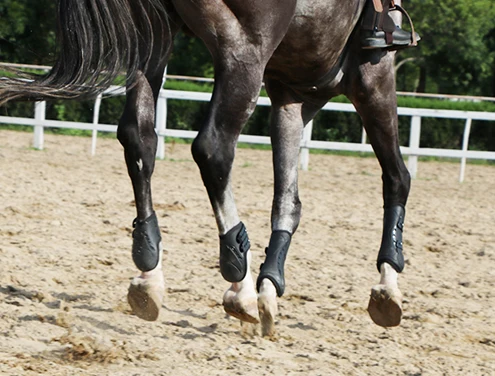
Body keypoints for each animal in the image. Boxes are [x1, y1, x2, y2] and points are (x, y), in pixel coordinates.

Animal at [0, 0, 410, 334]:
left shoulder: (292, 96)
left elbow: (288, 202)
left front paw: (270, 285)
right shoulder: (373, 74)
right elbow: (397, 178)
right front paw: (388, 283)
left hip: (155, 38)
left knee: (138, 137)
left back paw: (149, 272)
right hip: (242, 51)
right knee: (213, 148)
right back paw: (238, 281)